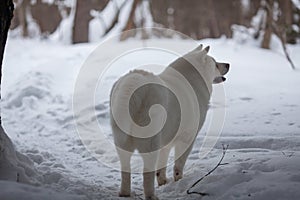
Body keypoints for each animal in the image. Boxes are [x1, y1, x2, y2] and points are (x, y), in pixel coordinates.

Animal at [110, 44, 230, 199]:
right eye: (215, 63)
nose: (228, 64)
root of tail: (134, 83)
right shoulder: (187, 138)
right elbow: (178, 165)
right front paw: (179, 181)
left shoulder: (165, 142)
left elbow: (162, 165)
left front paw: (163, 182)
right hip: (150, 142)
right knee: (147, 172)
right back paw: (151, 196)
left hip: (122, 141)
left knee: (125, 168)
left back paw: (124, 193)